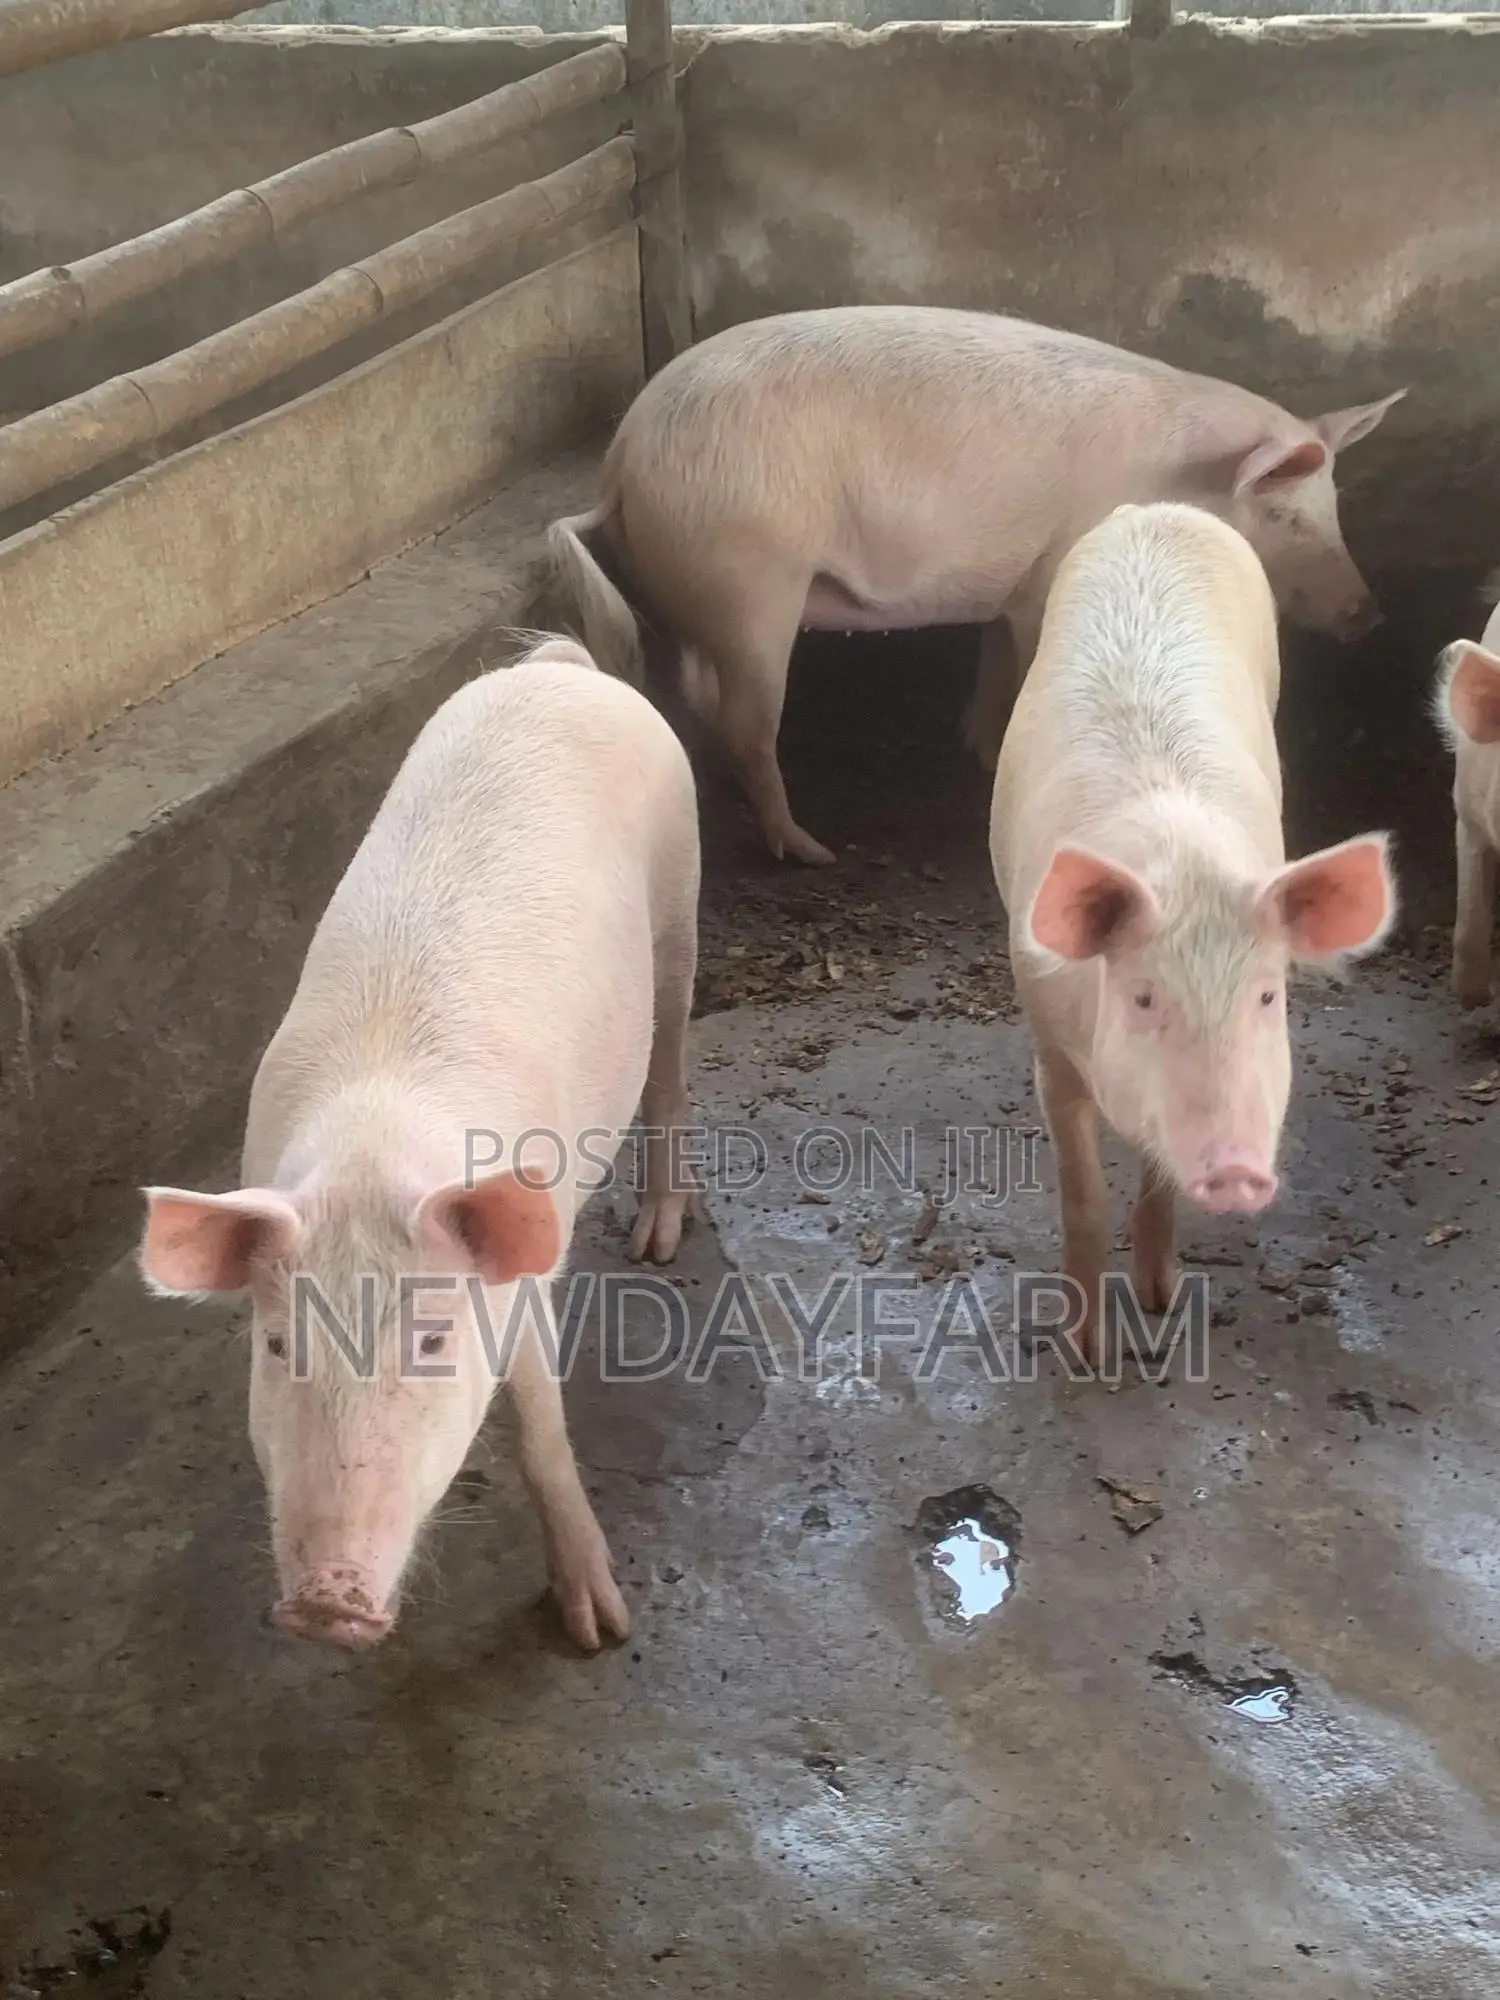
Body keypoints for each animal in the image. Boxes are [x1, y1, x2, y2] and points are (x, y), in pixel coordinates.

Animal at [137, 637, 700, 1651]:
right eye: (277, 1345)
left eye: (434, 1341)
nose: (325, 1604)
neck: (371, 1151)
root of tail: (561, 666)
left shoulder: (521, 1285)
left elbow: (541, 1432)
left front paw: (597, 1631)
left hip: (682, 888)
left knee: (672, 1060)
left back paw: (658, 1241)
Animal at [549, 305, 1405, 866]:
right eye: (1286, 516)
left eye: (1333, 506)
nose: (1370, 614)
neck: (1179, 480)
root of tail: (621, 461)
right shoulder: (1051, 573)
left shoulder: (1015, 584)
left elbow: (996, 667)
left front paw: (983, 749)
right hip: (752, 581)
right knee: (748, 726)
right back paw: (812, 850)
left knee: (702, 700)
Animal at [991, 503, 1396, 1364]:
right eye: (1144, 998)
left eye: (1269, 997)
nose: (1238, 1170)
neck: (1183, 868)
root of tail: (1155, 510)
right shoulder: (1048, 1045)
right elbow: (1083, 1195)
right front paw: (1085, 1353)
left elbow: (1154, 1177)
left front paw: (1164, 1303)